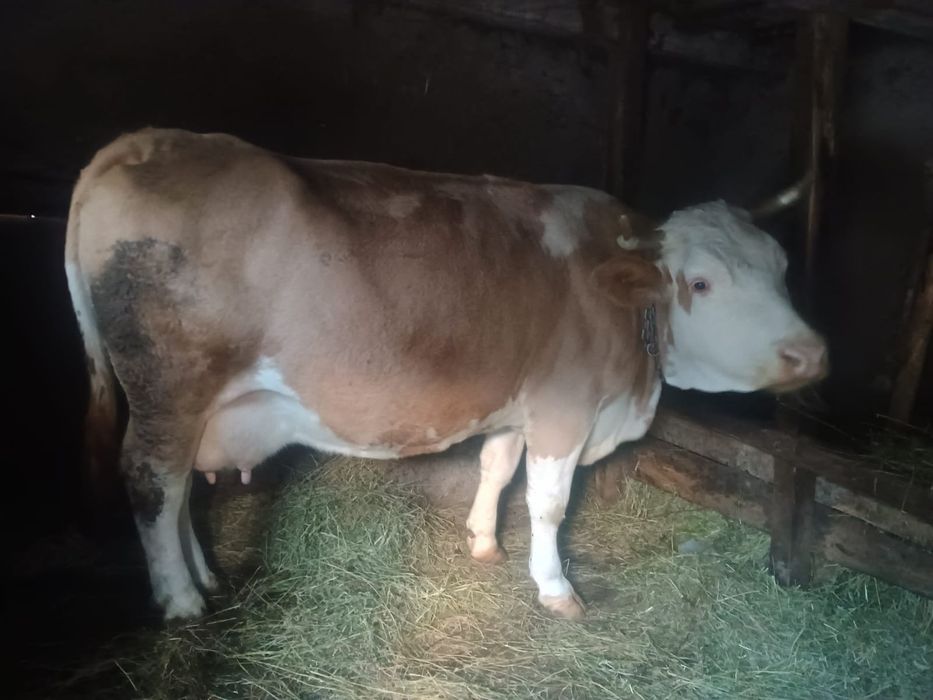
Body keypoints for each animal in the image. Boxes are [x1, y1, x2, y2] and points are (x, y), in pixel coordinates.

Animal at [65, 128, 827, 621]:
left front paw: (484, 540)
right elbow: (548, 504)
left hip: (193, 407)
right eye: (699, 282)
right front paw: (554, 587)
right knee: (154, 483)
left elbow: (496, 467)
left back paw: (204, 576)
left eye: (783, 267)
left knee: (178, 489)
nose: (811, 353)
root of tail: (146, 141)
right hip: (170, 387)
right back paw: (180, 599)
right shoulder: (565, 409)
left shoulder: (520, 401)